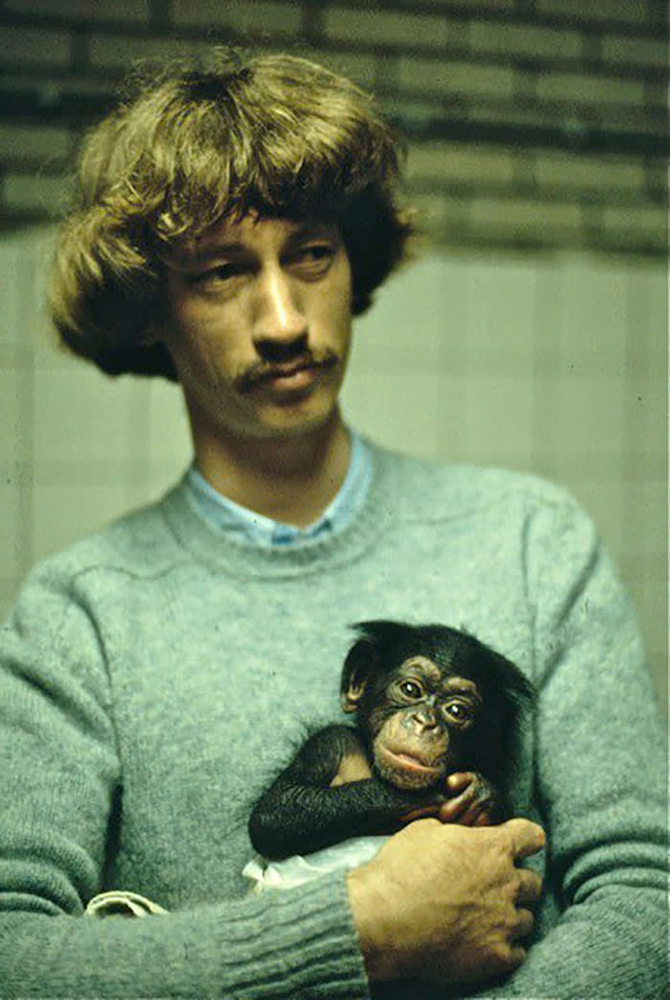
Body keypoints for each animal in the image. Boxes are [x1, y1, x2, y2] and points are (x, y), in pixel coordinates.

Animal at [249, 616, 540, 860]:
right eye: (410, 689)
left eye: (457, 711)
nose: (425, 721)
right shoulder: (329, 744)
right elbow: (277, 813)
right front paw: (439, 795)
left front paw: (483, 795)